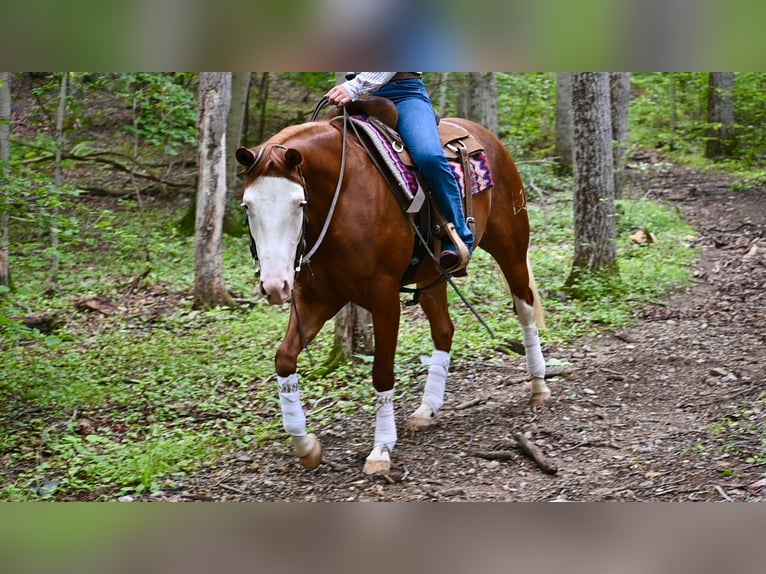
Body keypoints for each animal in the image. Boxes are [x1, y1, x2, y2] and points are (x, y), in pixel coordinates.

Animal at [235, 110, 550, 475]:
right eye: (247, 206)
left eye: (298, 203)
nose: (274, 286)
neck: (342, 199)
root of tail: (484, 135)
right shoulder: (317, 298)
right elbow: (284, 359)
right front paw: (307, 446)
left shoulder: (384, 298)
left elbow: (382, 372)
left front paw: (381, 448)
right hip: (433, 275)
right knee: (444, 330)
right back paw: (428, 409)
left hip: (511, 245)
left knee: (524, 308)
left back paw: (539, 386)